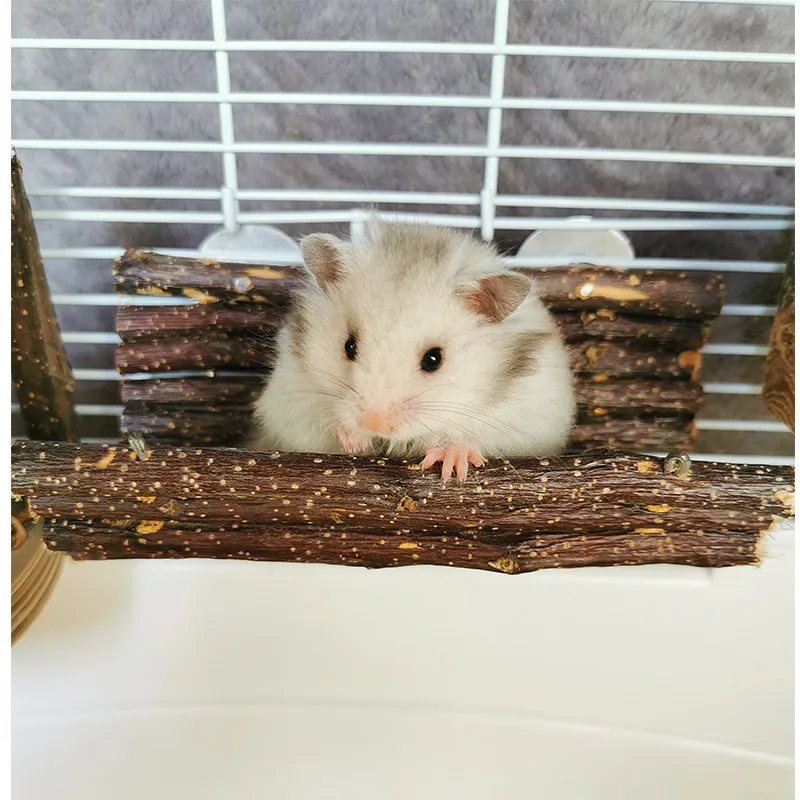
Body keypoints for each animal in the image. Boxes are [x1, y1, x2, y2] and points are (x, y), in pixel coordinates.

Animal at [250, 219, 576, 482]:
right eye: (349, 346)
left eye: (434, 359)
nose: (374, 423)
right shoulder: (291, 397)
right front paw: (355, 439)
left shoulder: (526, 420)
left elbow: (474, 436)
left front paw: (451, 468)